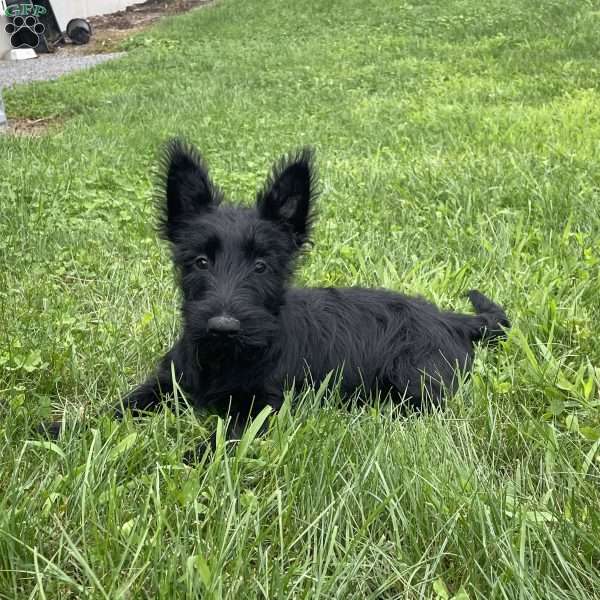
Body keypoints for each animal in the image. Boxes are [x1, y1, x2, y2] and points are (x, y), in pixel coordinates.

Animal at [118, 139, 510, 440]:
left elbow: (219, 442)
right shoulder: (166, 382)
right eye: (200, 261)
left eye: (261, 266)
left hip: (416, 380)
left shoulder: (263, 407)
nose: (223, 328)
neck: (225, 359)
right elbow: (121, 407)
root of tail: (449, 318)